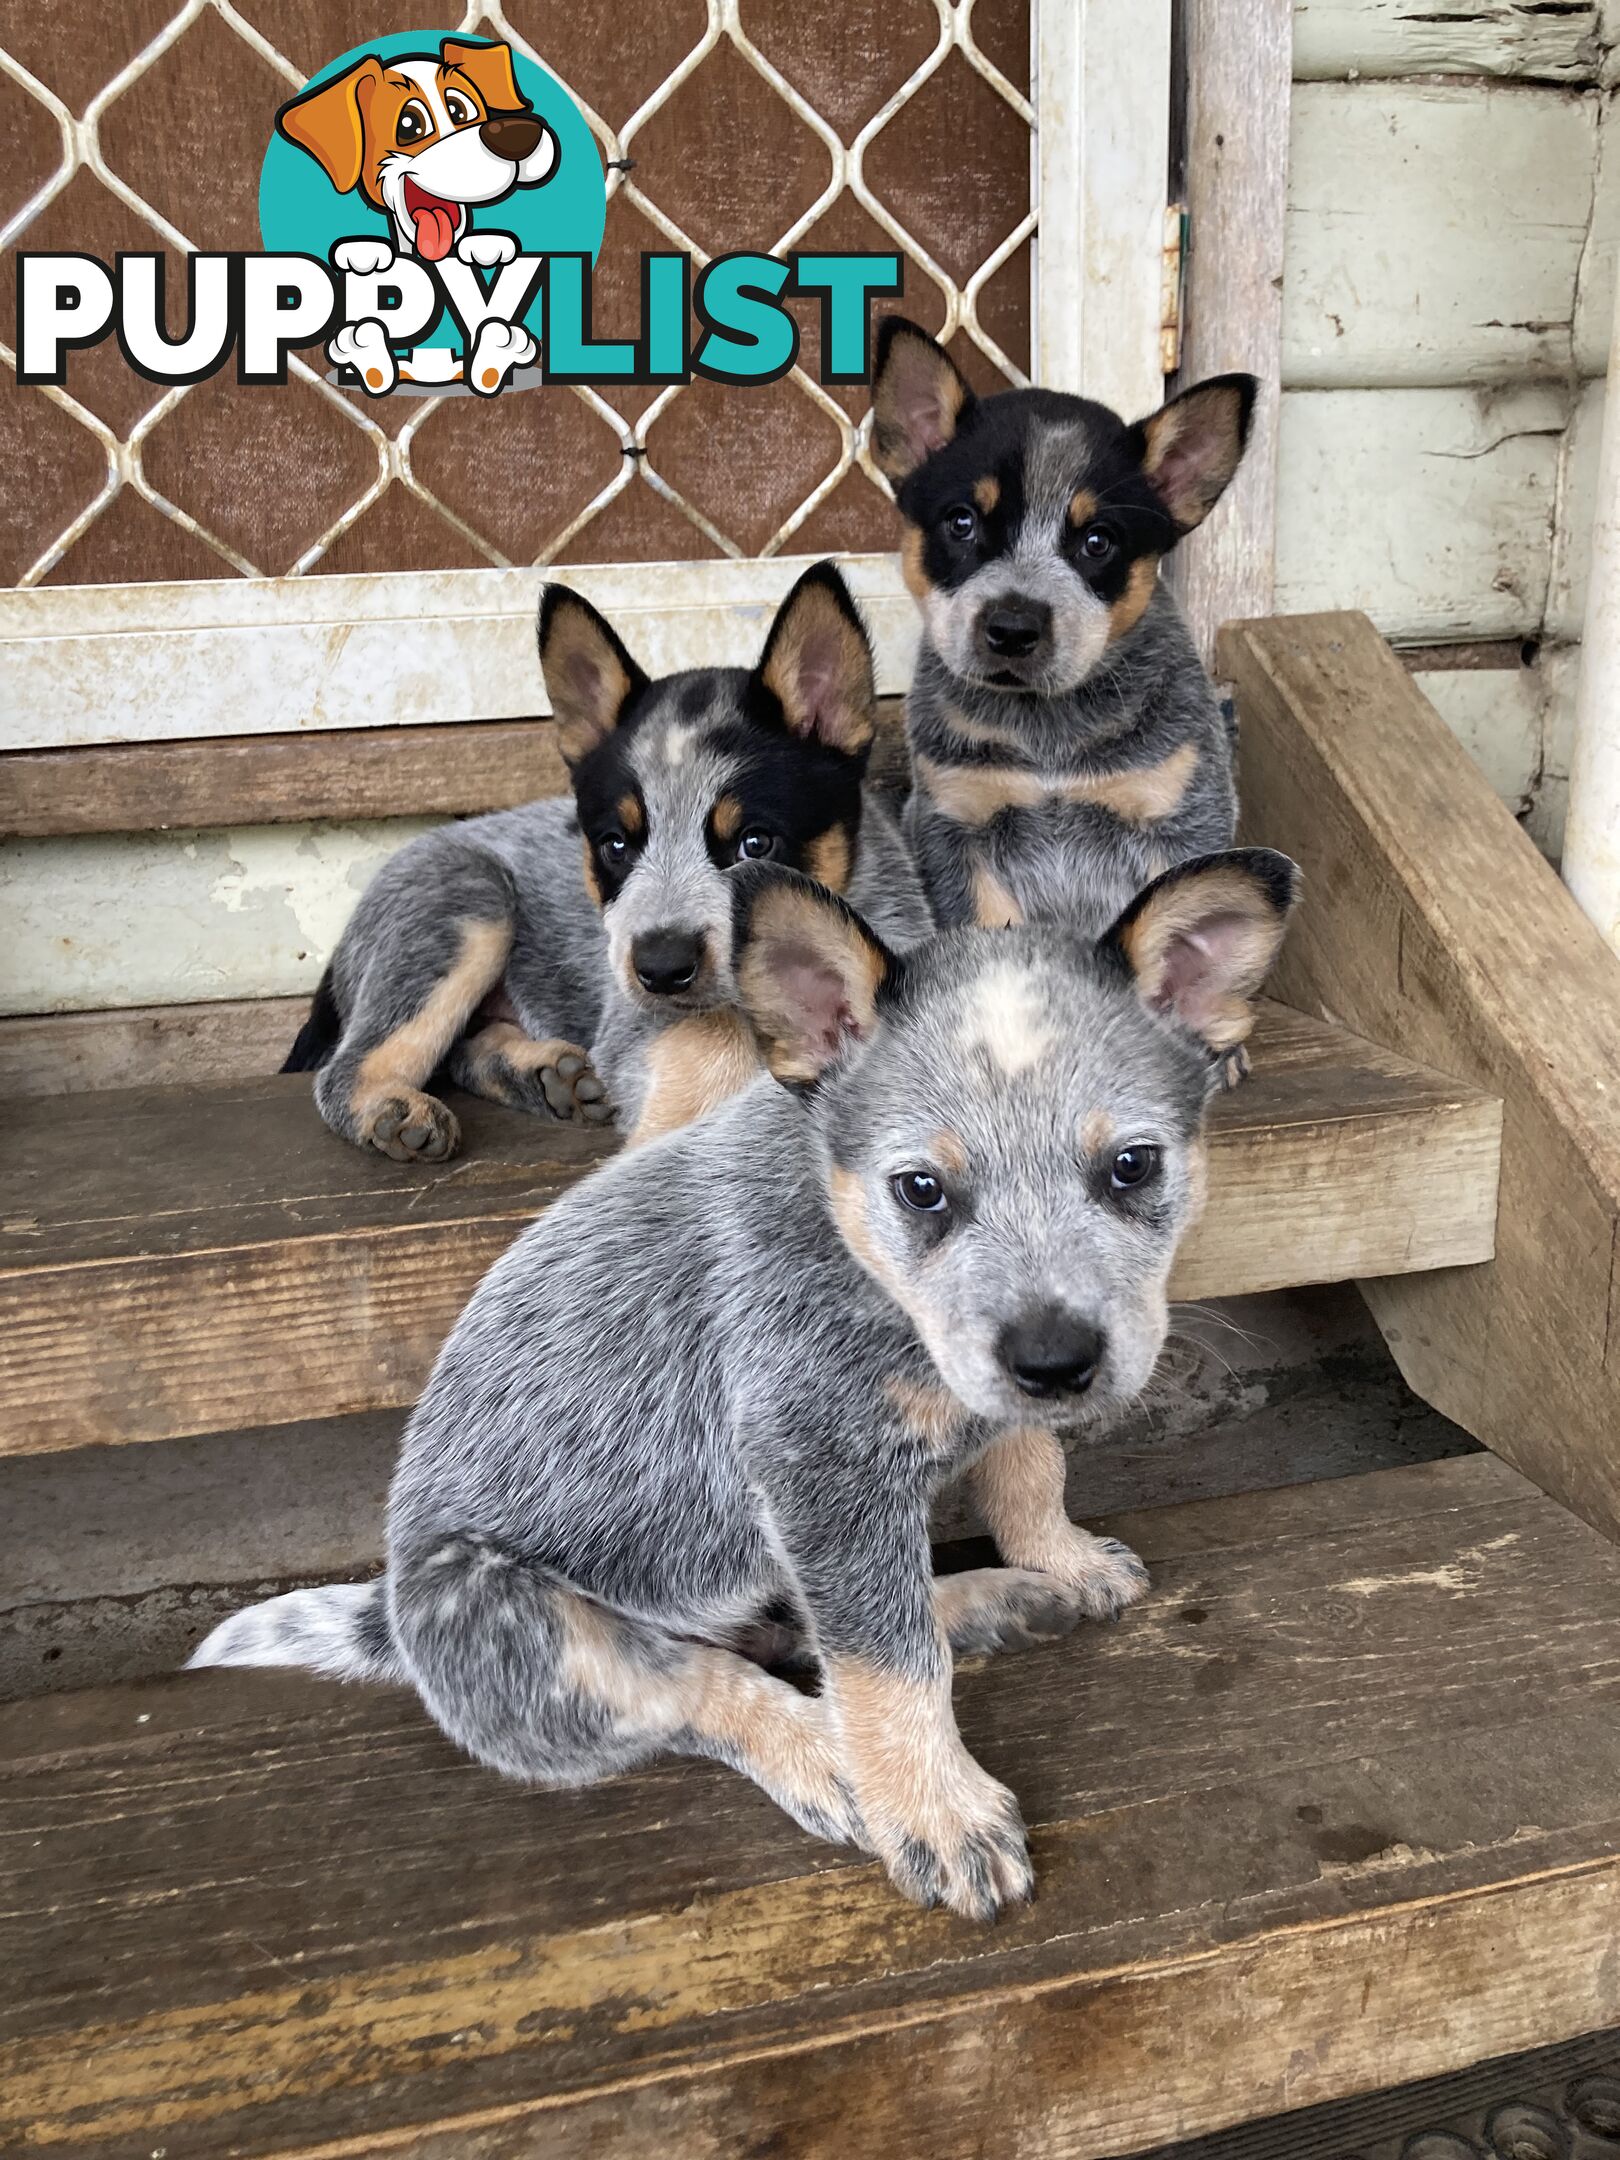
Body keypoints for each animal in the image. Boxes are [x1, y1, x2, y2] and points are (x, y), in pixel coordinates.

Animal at [193, 842, 1304, 1926]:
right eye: (922, 1188)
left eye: (1133, 1166)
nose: (1057, 1364)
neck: (854, 1252)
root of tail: (390, 1617)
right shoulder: (818, 1473)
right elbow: (884, 1664)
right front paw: (936, 1812)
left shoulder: (974, 1387)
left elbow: (1026, 1468)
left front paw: (1058, 1556)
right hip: (508, 1613)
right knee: (706, 1682)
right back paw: (830, 1760)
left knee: (801, 1625)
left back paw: (994, 1599)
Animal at [285, 565, 933, 1157]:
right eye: (615, 845)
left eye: (755, 843)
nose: (662, 968)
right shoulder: (635, 1025)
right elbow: (708, 1034)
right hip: (466, 901)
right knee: (346, 1069)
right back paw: (392, 1107)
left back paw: (545, 1076)